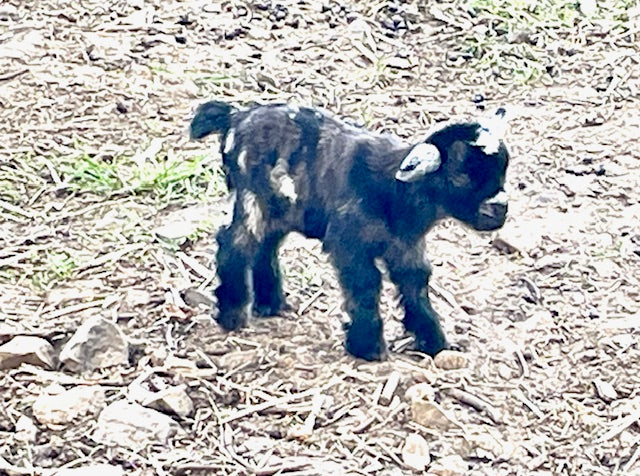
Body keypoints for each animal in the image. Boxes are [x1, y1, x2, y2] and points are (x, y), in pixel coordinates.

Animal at [190, 101, 510, 361]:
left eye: (502, 171)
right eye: (464, 175)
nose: (501, 208)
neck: (394, 190)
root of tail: (236, 116)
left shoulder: (405, 247)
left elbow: (416, 284)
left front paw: (435, 342)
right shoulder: (349, 242)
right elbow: (366, 284)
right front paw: (368, 347)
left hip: (279, 209)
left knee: (265, 245)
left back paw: (270, 304)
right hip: (252, 196)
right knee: (235, 243)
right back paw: (232, 314)